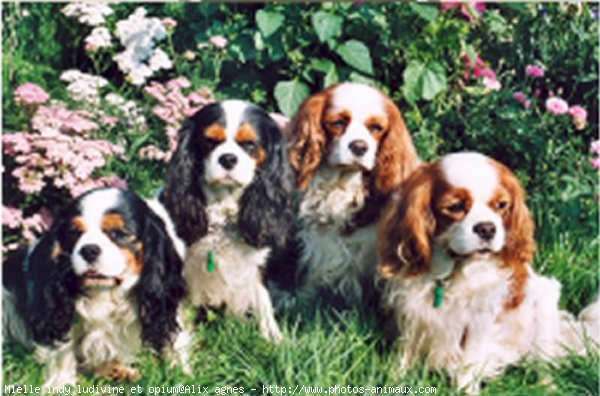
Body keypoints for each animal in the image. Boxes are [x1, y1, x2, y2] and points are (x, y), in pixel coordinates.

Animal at [2, 187, 190, 388]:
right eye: (75, 233)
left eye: (118, 233)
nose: (89, 249)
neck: (107, 292)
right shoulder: (58, 314)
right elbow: (63, 349)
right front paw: (62, 384)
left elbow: (174, 340)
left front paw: (180, 374)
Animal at [284, 82, 418, 308]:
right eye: (338, 123)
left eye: (376, 128)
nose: (359, 146)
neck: (342, 184)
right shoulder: (320, 243)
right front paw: (302, 301)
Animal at [378, 152, 596, 392]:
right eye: (455, 206)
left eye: (501, 205)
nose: (487, 228)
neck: (452, 275)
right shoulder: (411, 310)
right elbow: (405, 350)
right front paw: (395, 380)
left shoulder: (479, 319)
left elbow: (470, 360)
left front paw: (465, 391)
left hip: (544, 305)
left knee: (545, 364)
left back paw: (547, 387)